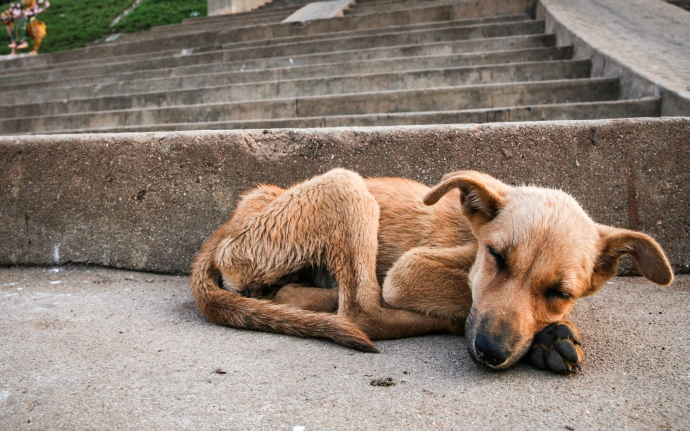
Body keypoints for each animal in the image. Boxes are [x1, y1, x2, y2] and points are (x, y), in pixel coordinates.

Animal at [189, 169, 672, 374]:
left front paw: (550, 333)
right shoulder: (409, 269)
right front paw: (545, 337)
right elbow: (462, 296)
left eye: (560, 291)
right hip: (346, 184)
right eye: (497, 257)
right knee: (362, 310)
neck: (472, 237)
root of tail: (227, 227)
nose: (491, 352)